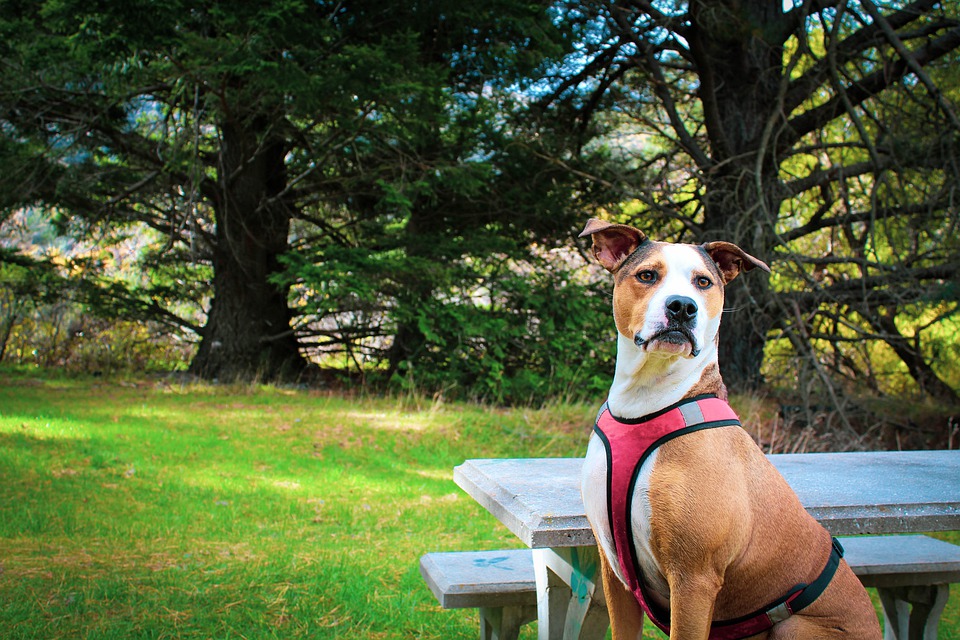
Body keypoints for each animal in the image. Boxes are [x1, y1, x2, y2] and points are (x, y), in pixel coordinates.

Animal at [572, 220, 880, 640]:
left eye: (703, 282)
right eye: (647, 275)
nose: (683, 307)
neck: (647, 403)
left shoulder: (694, 579)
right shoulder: (615, 571)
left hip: (794, 627)